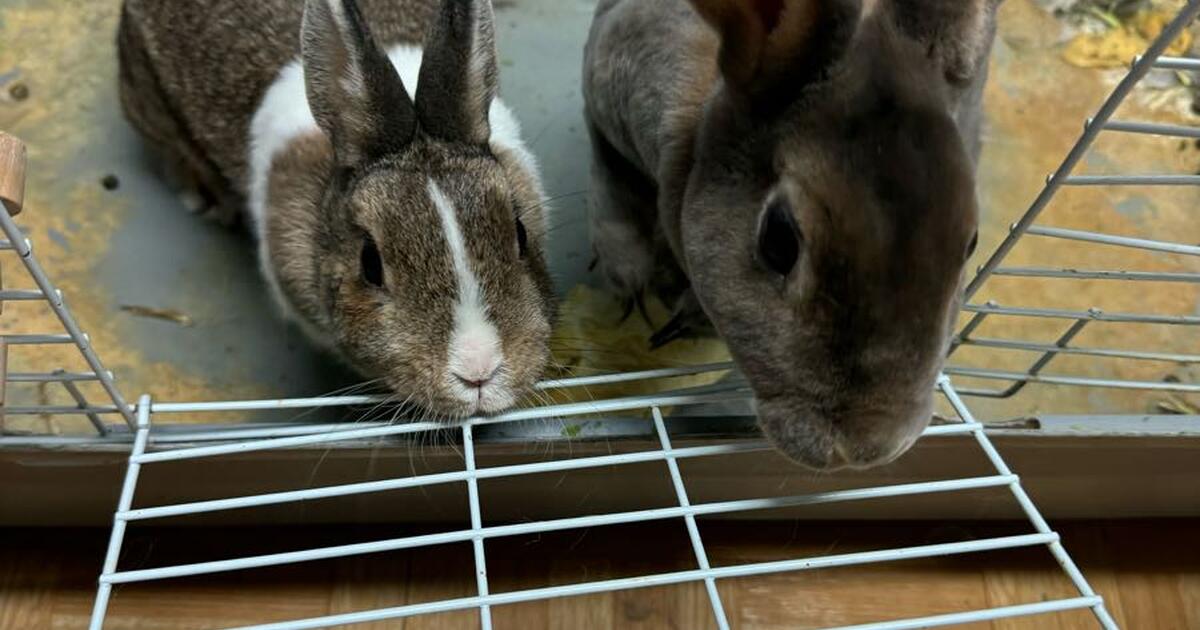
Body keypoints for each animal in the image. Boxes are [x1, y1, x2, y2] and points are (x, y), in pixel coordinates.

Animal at [583, 0, 999, 469]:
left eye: (971, 243)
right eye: (779, 242)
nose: (866, 447)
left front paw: (684, 318)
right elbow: (611, 178)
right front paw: (629, 283)